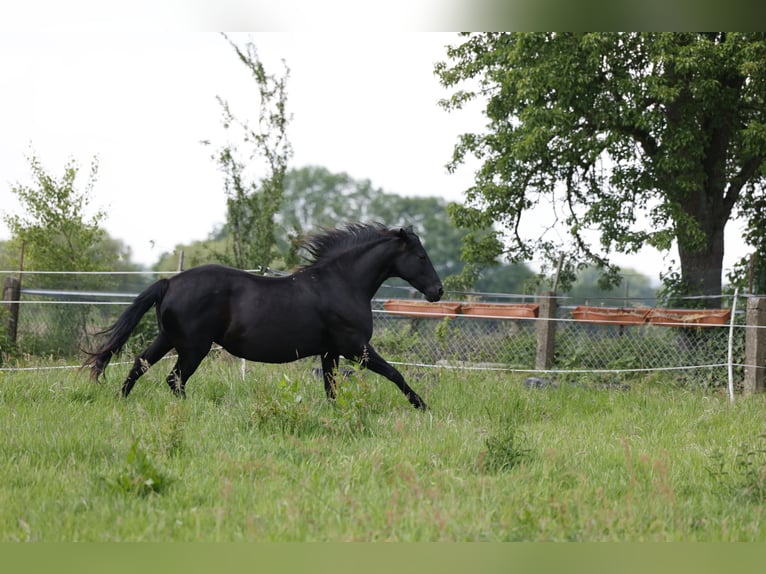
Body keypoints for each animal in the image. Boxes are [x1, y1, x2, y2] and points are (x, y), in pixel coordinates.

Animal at [84, 224, 444, 410]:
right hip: (194, 347)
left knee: (140, 365)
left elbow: (331, 387)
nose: (437, 291)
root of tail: (169, 282)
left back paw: (120, 402)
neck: (341, 283)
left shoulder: (330, 351)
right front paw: (422, 406)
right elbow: (395, 373)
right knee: (174, 379)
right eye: (421, 256)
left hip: (169, 339)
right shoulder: (355, 347)